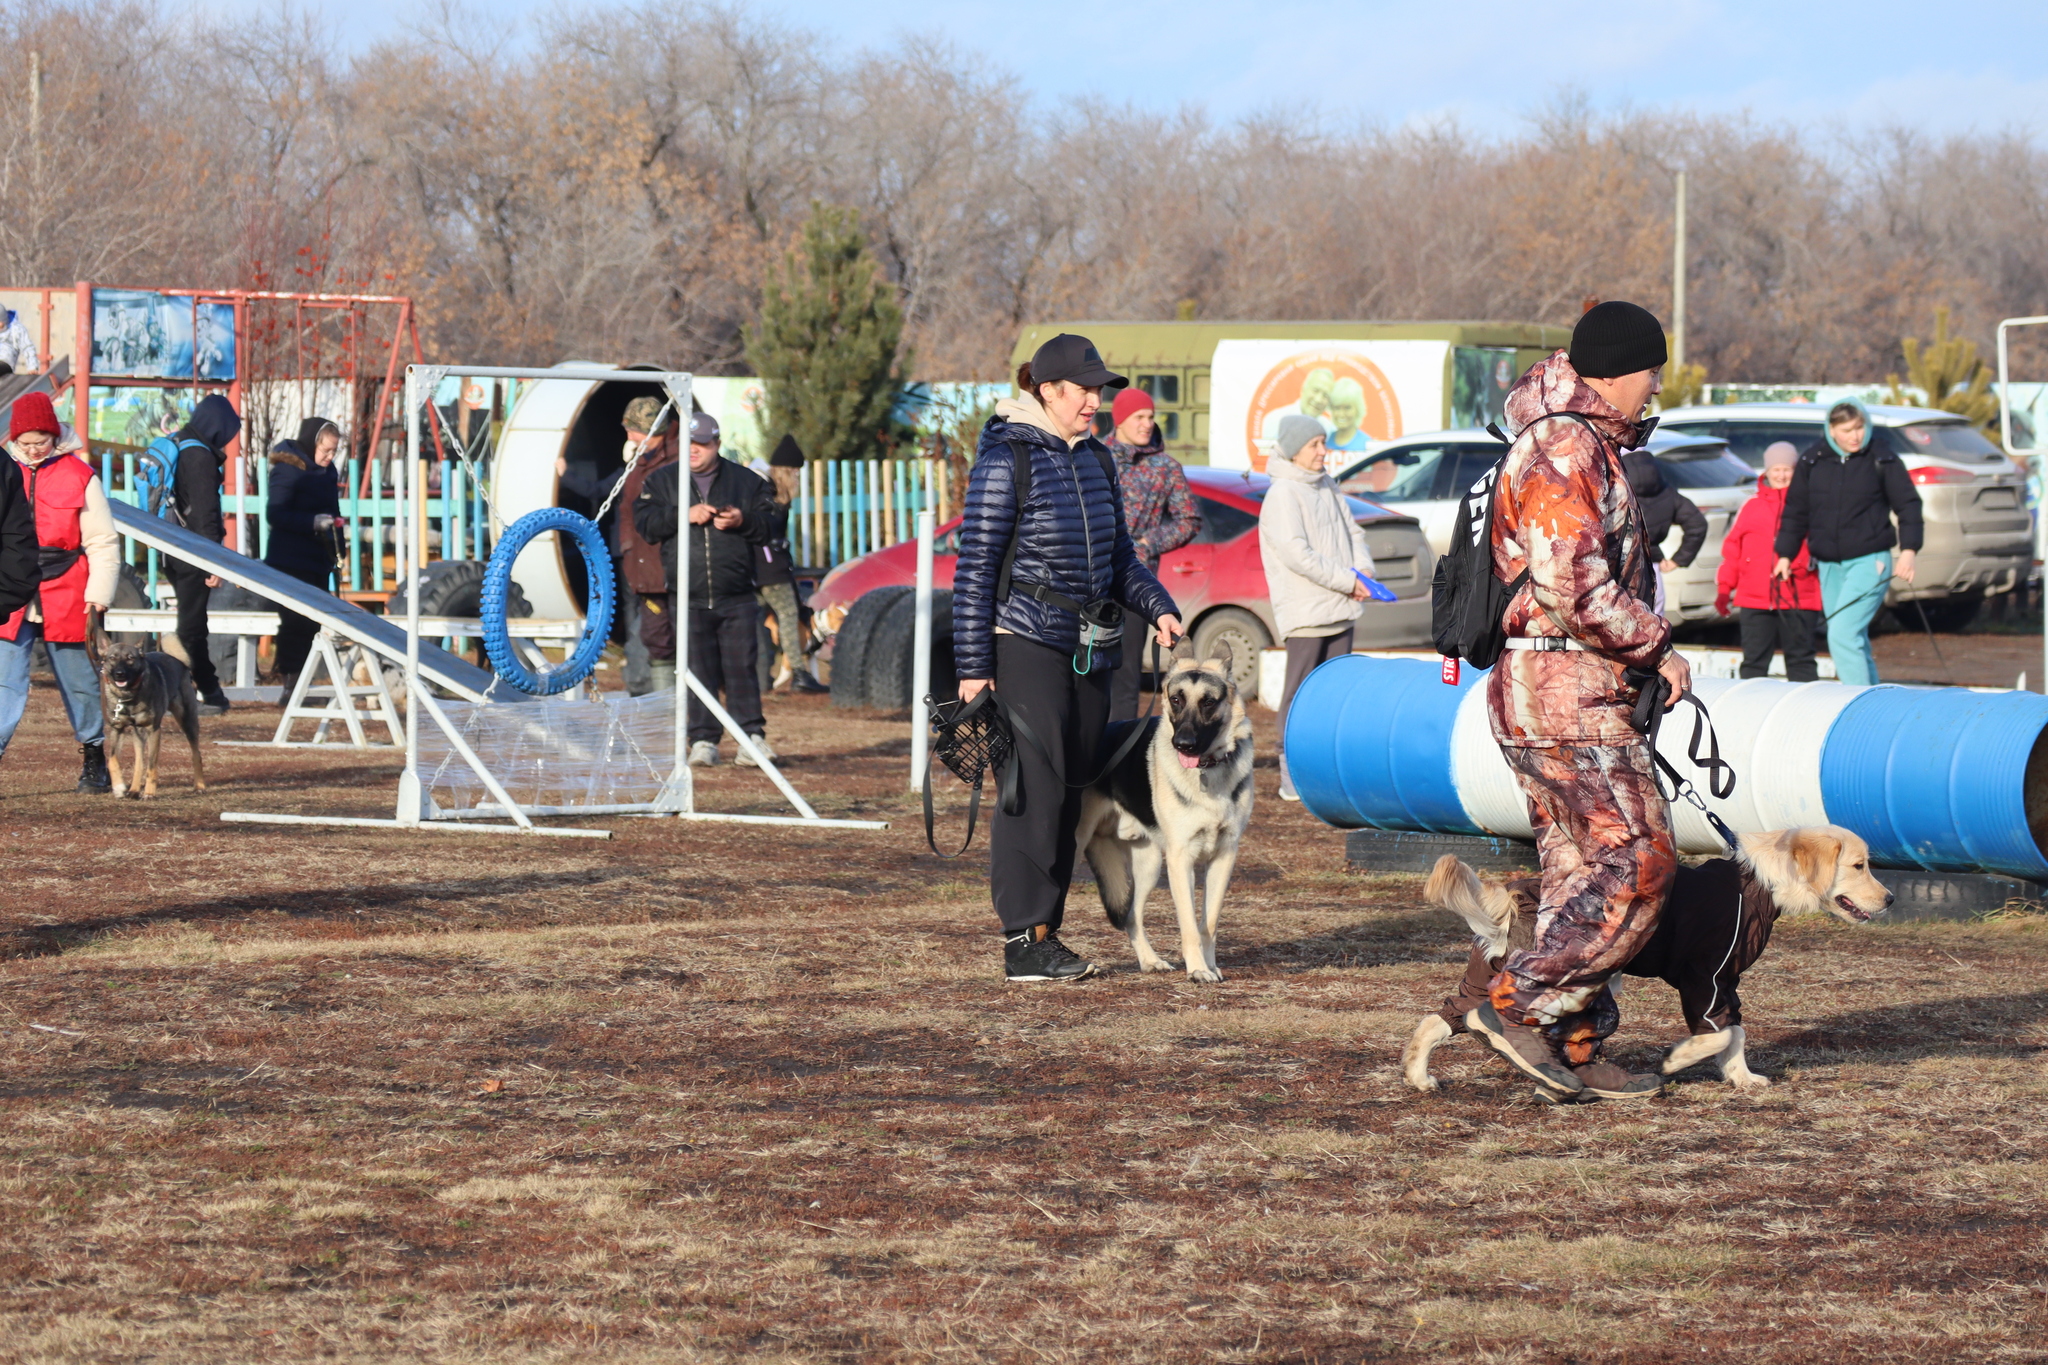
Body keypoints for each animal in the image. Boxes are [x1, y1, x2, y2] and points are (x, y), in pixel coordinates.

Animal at [88, 609, 205, 802]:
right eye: (112, 658)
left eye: (130, 658)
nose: (119, 674)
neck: (127, 697)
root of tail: (177, 660)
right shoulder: (116, 729)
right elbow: (112, 759)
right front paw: (119, 787)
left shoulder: (153, 730)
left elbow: (152, 765)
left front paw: (149, 792)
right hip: (138, 734)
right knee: (138, 762)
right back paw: (134, 789)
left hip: (187, 721)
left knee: (196, 754)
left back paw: (199, 786)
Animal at [1081, 642, 1253, 982]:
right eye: (1176, 699)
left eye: (1209, 702)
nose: (1183, 744)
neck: (1207, 771)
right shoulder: (1181, 860)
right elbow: (1189, 926)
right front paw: (1198, 969)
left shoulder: (1223, 857)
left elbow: (1208, 924)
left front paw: (1210, 965)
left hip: (1149, 867)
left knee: (1132, 916)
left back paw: (1150, 960)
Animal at [1409, 826, 1884, 1096]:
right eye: (1859, 865)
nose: (1891, 899)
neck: (1761, 881)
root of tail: (1512, 895)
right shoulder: (1703, 979)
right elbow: (1718, 1032)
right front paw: (1677, 1059)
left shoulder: (1725, 983)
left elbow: (1735, 1031)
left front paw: (1741, 1078)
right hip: (1572, 982)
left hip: (1488, 977)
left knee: (1444, 1017)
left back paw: (1418, 1076)